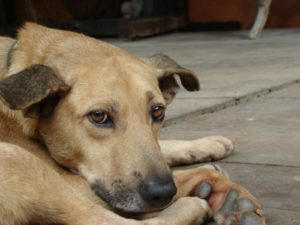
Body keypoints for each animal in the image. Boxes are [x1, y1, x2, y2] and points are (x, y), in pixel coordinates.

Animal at [0, 23, 264, 225]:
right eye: (98, 116)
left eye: (158, 111)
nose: (162, 193)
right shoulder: (80, 185)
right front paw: (211, 177)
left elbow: (164, 146)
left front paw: (205, 145)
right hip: (14, 158)